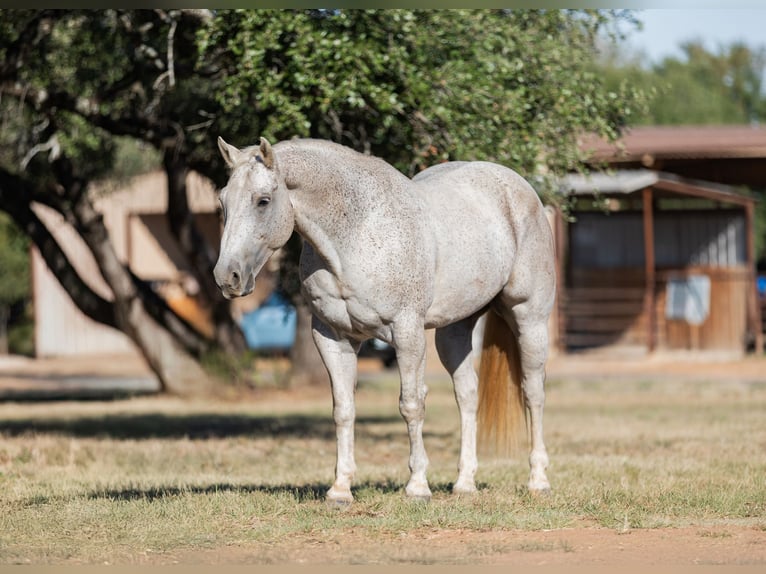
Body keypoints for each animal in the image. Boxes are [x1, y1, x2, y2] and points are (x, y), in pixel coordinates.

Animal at [213, 137, 556, 506]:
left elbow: (411, 405)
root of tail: (518, 187)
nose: (227, 277)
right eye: (222, 201)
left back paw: (538, 480)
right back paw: (464, 483)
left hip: (530, 319)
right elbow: (344, 409)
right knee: (467, 394)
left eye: (262, 201)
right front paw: (340, 488)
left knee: (533, 392)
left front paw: (418, 486)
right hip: (453, 331)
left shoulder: (407, 333)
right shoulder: (332, 337)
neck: (355, 233)